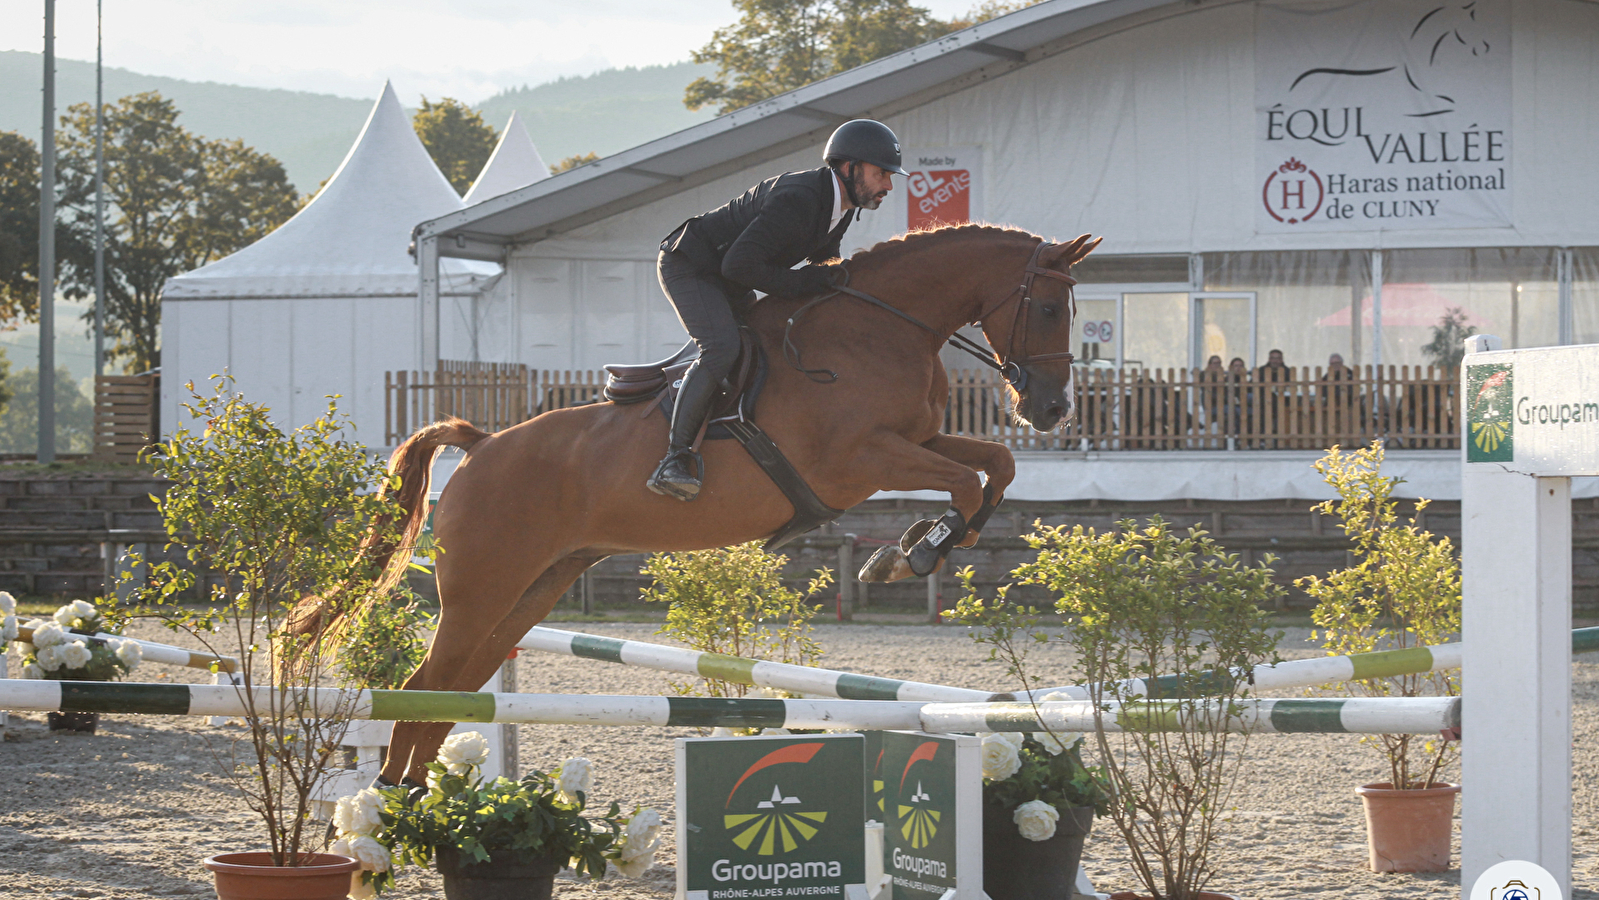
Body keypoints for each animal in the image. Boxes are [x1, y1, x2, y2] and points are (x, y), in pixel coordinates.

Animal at [294, 223, 1100, 783]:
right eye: (1048, 306)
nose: (1053, 409)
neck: (882, 326)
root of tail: (484, 442)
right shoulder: (860, 459)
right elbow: (964, 482)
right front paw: (912, 555)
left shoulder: (918, 439)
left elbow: (992, 468)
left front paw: (912, 549)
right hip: (479, 592)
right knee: (418, 689)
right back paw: (391, 812)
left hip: (530, 590)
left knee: (453, 692)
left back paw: (420, 799)